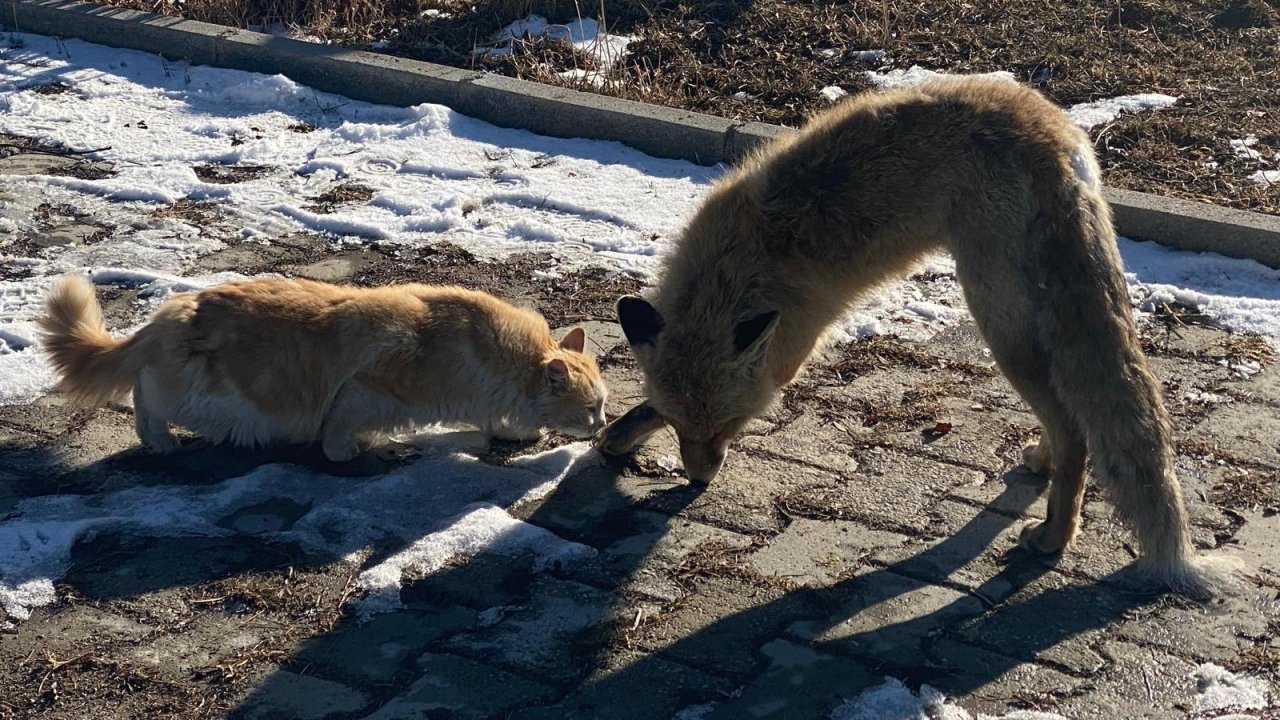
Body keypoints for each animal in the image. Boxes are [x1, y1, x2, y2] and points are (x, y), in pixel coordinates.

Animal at [35, 271, 604, 456]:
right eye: (591, 409)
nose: (601, 428)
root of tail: (173, 310)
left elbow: (497, 421)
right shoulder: (364, 390)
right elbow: (336, 435)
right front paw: (351, 452)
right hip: (202, 396)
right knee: (144, 397)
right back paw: (161, 442)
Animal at [593, 75, 1233, 597]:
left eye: (729, 425)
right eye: (685, 429)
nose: (699, 480)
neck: (738, 267)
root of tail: (1053, 131)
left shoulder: (787, 350)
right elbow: (644, 404)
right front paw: (618, 436)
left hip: (997, 322)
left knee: (1074, 425)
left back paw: (1055, 536)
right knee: (1067, 417)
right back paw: (1041, 464)